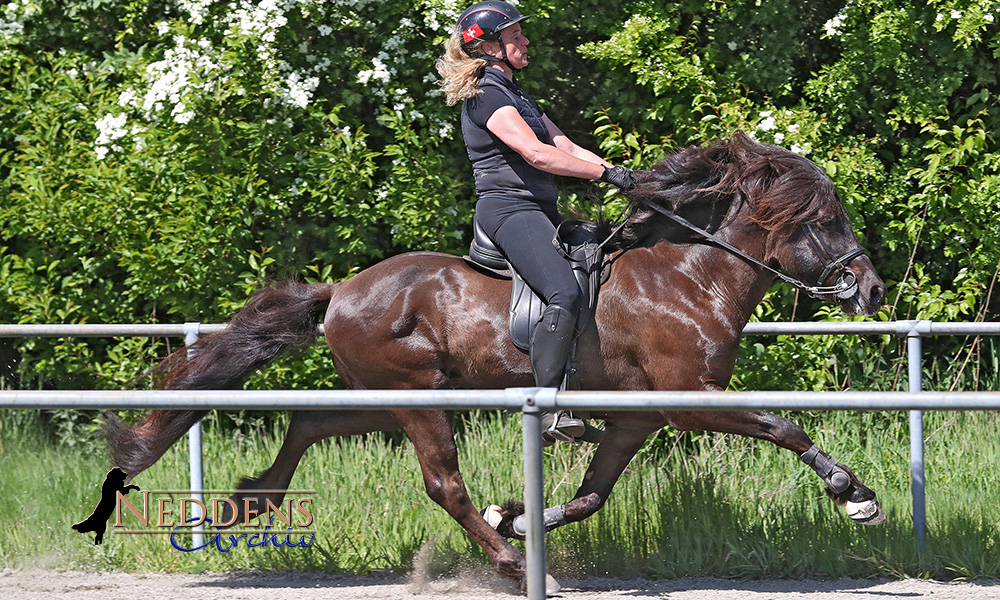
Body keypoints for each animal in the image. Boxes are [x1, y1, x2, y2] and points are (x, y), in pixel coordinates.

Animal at [105, 132, 888, 592]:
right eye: (823, 222)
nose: (873, 289)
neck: (688, 275)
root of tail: (340, 291)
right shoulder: (689, 397)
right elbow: (784, 427)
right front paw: (853, 494)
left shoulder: (636, 417)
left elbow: (591, 495)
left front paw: (517, 517)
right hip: (419, 399)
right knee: (442, 484)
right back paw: (509, 567)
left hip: (387, 397)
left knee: (310, 425)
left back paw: (249, 503)